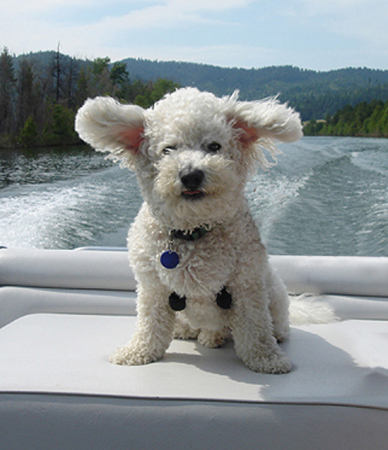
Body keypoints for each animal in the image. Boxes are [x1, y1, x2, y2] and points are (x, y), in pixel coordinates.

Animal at [76, 87, 304, 372]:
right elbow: (150, 326)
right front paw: (137, 352)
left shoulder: (247, 284)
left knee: (272, 322)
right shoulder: (152, 287)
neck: (192, 231)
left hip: (274, 292)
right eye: (168, 149)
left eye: (214, 146)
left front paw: (267, 360)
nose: (191, 175)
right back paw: (197, 333)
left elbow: (256, 328)